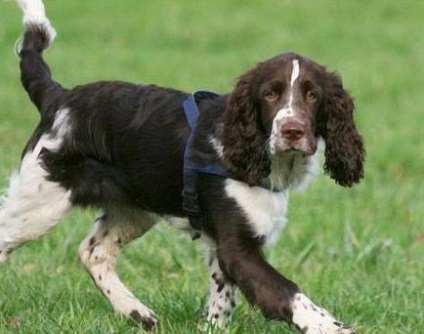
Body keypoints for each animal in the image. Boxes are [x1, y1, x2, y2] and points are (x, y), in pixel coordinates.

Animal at [0, 1, 364, 332]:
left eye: (313, 95)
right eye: (270, 94)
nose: (293, 131)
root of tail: (58, 98)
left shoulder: (223, 245)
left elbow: (222, 298)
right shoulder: (238, 248)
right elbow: (288, 292)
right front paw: (332, 326)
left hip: (134, 208)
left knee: (94, 251)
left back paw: (137, 312)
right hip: (40, 200)